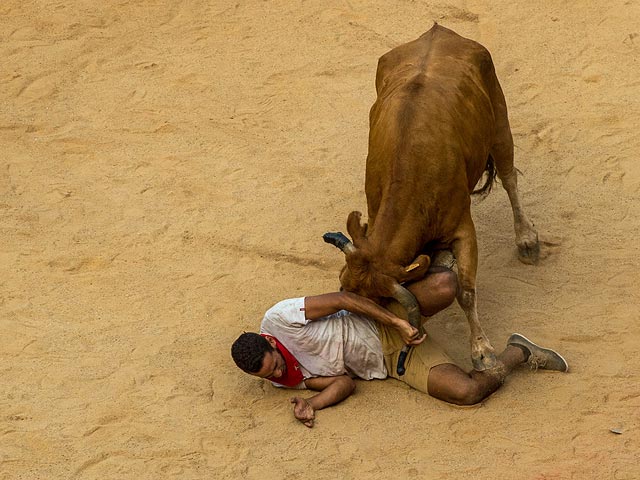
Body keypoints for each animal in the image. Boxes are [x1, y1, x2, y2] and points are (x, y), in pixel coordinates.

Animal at [324, 24, 540, 372]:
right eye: (344, 288)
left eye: (380, 302)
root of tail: (440, 31)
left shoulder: (463, 229)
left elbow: (466, 292)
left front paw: (482, 351)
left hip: (499, 121)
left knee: (509, 177)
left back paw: (527, 240)